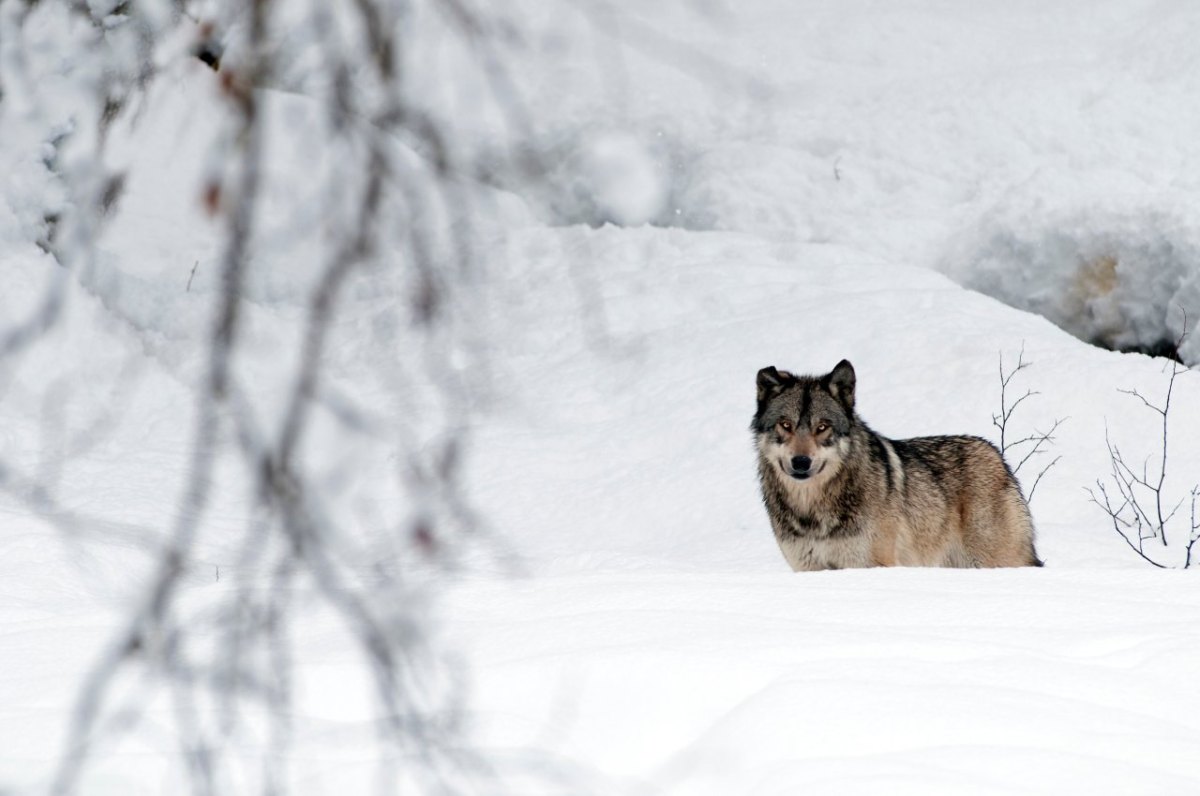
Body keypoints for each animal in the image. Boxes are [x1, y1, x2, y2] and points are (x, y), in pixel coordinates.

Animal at [748, 360, 1041, 573]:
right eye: (785, 424)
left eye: (822, 427)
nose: (801, 462)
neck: (811, 511)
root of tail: (996, 454)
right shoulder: (808, 569)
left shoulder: (870, 564)